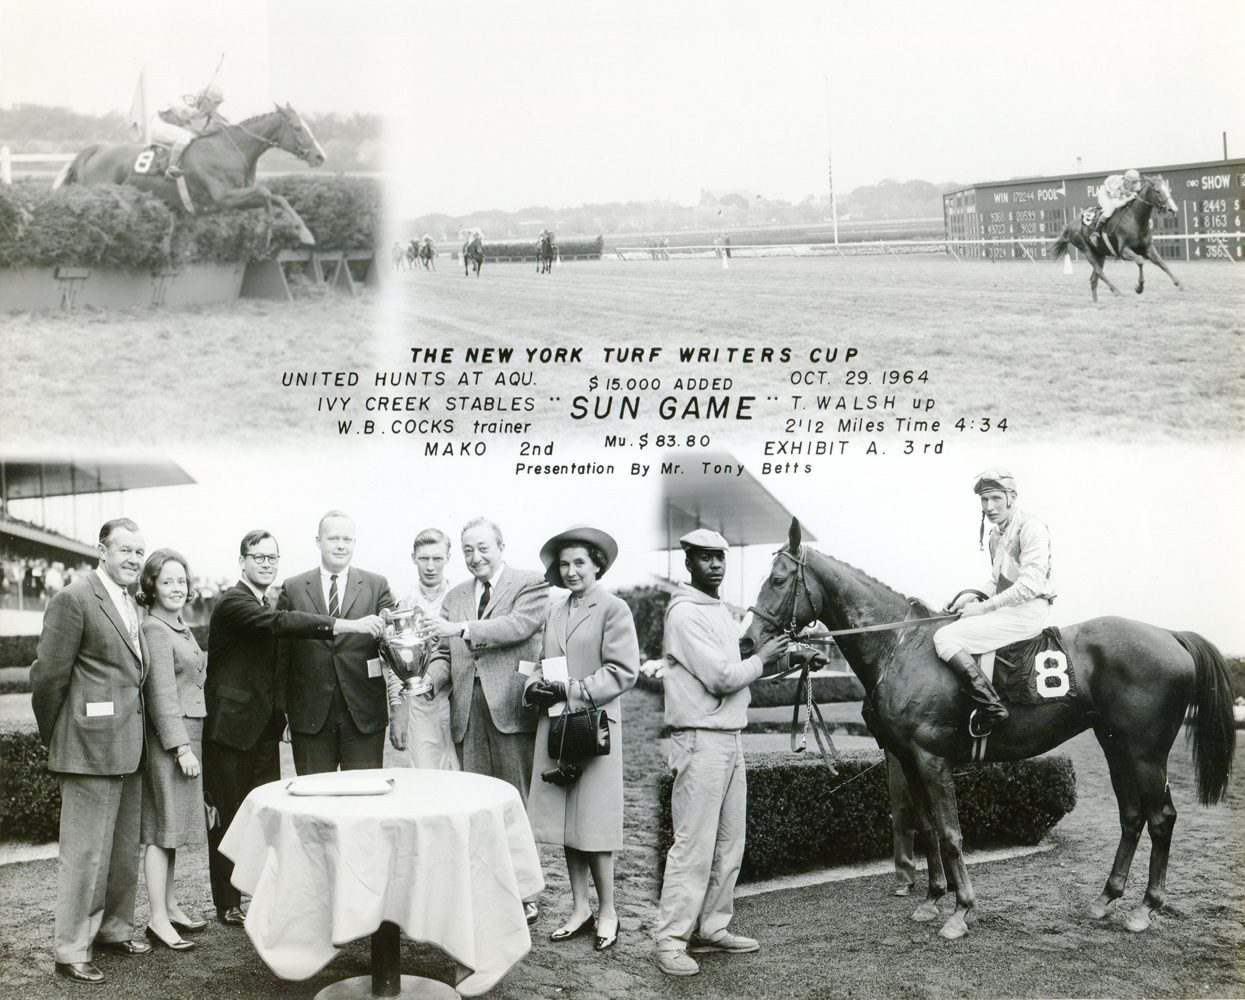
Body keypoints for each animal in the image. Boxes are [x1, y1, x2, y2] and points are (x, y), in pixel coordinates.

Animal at [53, 103, 326, 246]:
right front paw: (283, 231)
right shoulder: (225, 198)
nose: (320, 157)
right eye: (298, 127)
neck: (229, 148)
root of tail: (98, 149)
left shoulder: (237, 197)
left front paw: (295, 231)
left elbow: (275, 198)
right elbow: (268, 192)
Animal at [737, 520, 1235, 941]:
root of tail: (1170, 634)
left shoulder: (931, 758)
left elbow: (952, 833)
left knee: (1161, 817)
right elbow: (927, 828)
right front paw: (932, 900)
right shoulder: (908, 758)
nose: (746, 641)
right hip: (1116, 745)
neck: (901, 645)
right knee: (1132, 816)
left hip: (1146, 751)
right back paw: (1105, 899)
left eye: (778, 579)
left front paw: (961, 911)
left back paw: (1145, 909)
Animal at [1050, 175, 1185, 301]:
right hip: (1086, 249)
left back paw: (1096, 302)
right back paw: (1116, 291)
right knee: (1100, 273)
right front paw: (1139, 288)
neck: (1134, 219)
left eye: (1167, 189)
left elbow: (1162, 263)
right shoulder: (1123, 251)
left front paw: (1180, 284)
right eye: (1157, 191)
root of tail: (1071, 223)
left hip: (1100, 254)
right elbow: (1140, 261)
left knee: (1094, 279)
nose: (1172, 209)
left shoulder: (1147, 248)